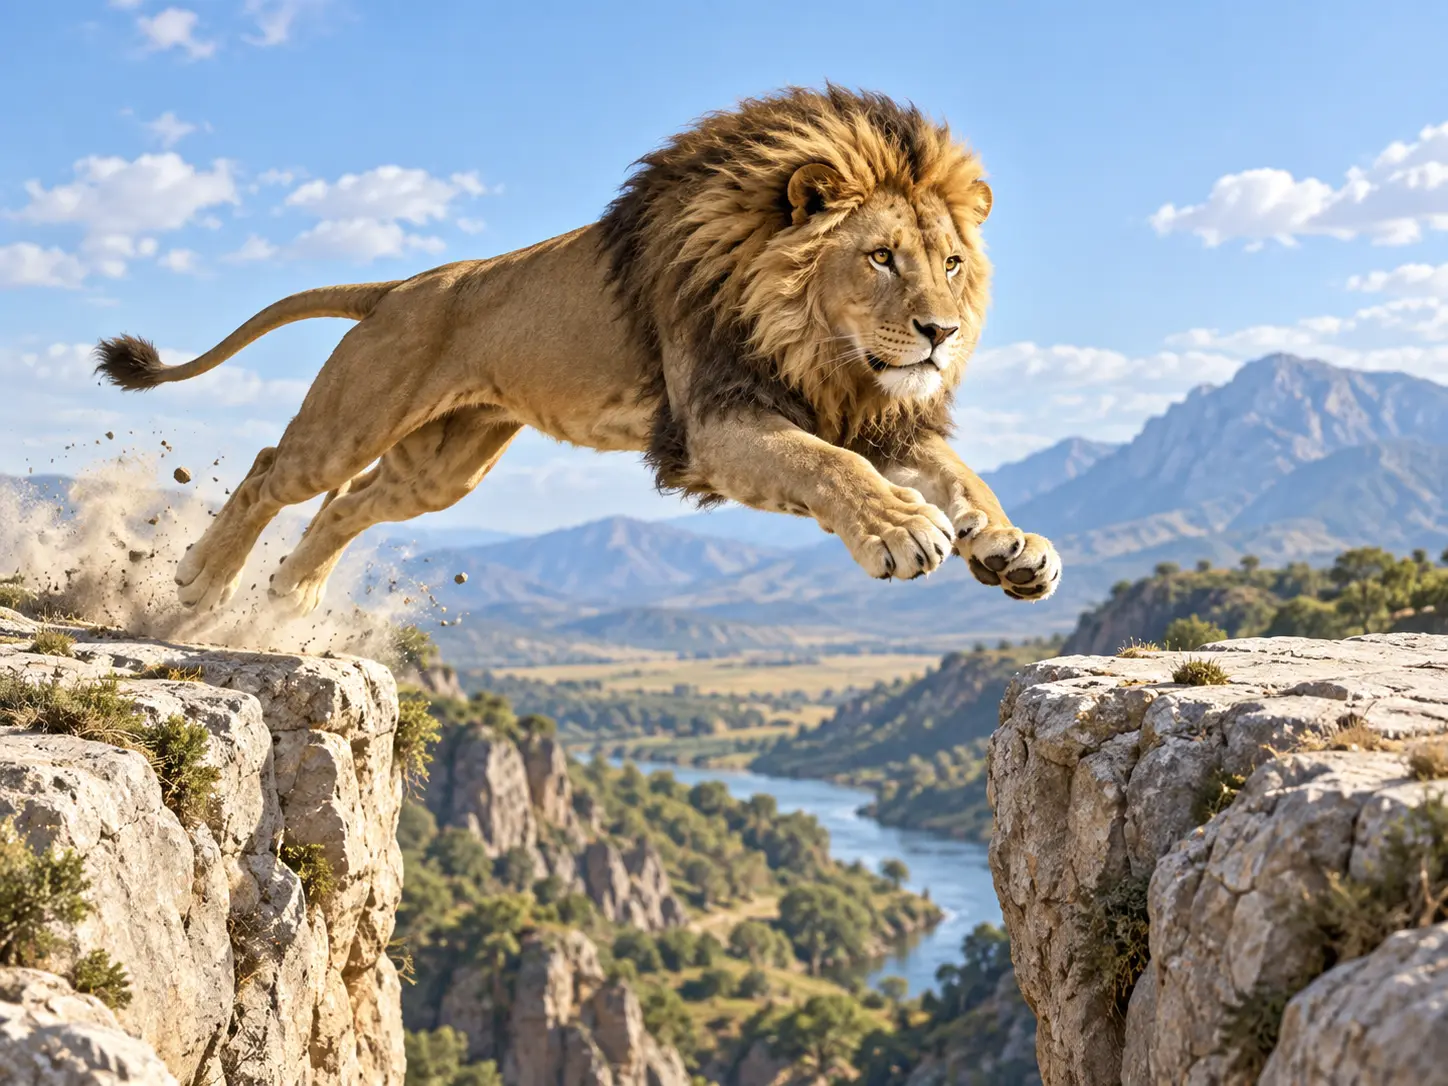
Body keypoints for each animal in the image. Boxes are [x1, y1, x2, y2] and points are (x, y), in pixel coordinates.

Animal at [94, 84, 1061, 616]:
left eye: (950, 264)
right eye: (881, 258)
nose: (941, 334)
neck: (822, 347)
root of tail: (403, 285)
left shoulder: (870, 412)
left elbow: (961, 474)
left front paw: (1010, 544)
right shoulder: (716, 423)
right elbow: (830, 468)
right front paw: (900, 529)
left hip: (443, 467)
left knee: (346, 507)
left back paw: (290, 601)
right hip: (356, 419)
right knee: (272, 470)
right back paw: (203, 584)